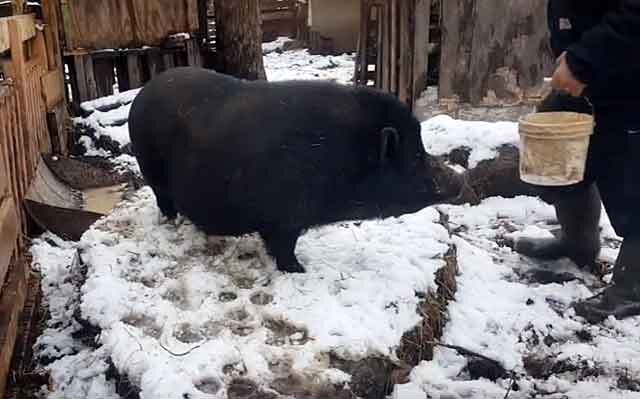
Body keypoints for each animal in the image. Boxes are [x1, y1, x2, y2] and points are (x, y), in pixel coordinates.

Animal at [129, 68, 464, 276]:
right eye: (416, 157)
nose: (460, 178)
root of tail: (142, 94)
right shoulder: (285, 219)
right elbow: (283, 247)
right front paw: (299, 270)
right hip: (152, 170)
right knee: (163, 201)